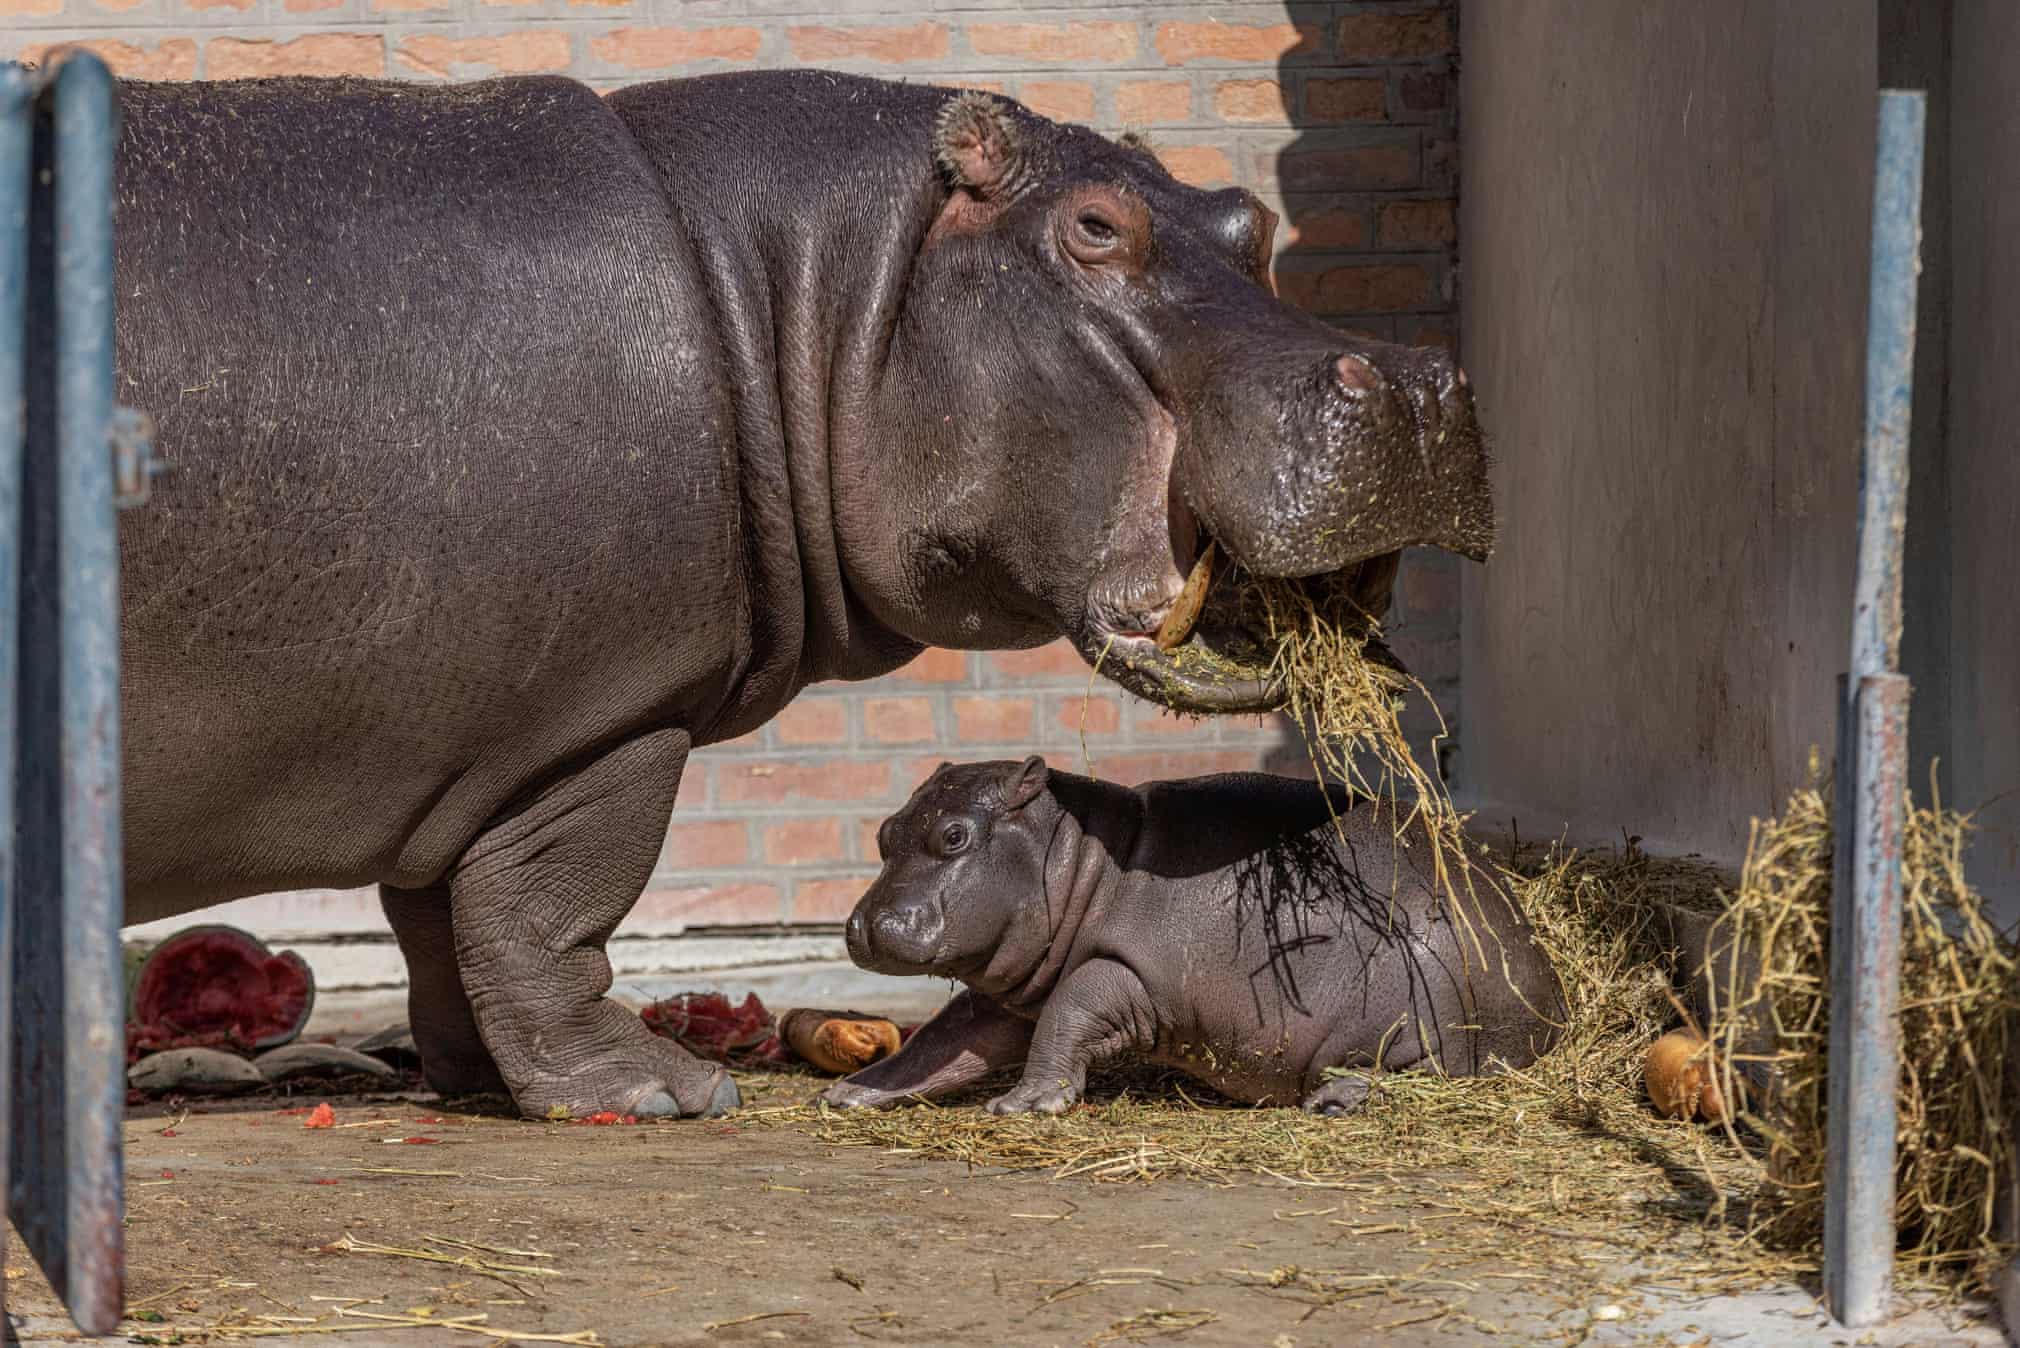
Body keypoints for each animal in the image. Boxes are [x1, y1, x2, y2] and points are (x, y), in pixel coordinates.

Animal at [820, 759, 1559, 1115]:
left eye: (954, 836)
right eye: (885, 832)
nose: (860, 925)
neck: (1081, 857)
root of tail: (1553, 1004)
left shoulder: (1125, 970)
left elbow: (1069, 1012)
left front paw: (1023, 1105)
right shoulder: (1006, 992)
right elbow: (943, 1042)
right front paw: (850, 1093)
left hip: (1418, 1009)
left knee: (1411, 1071)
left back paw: (1331, 1101)